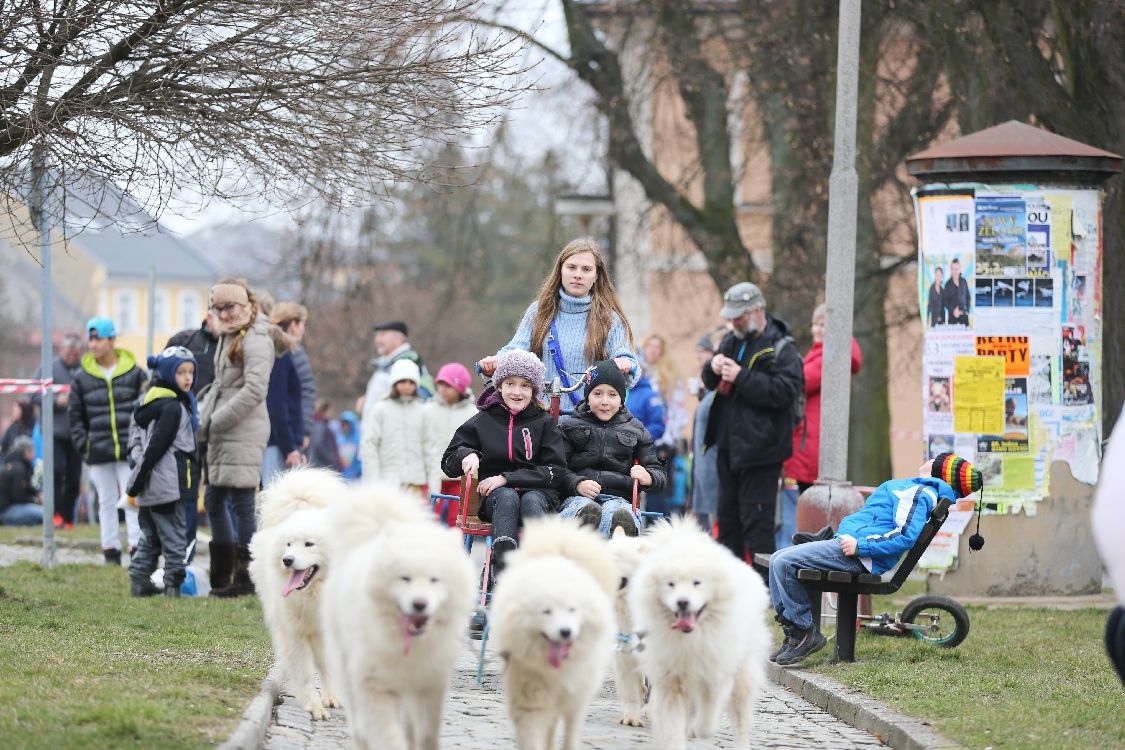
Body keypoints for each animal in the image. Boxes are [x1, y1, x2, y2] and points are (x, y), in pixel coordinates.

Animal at [248, 465, 348, 719]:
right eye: (288, 544)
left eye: (309, 544)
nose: (287, 560)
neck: (315, 595)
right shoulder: (295, 633)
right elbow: (304, 673)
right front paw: (314, 706)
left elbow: (327, 667)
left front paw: (331, 698)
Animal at [321, 519, 474, 750]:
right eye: (405, 578)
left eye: (434, 579)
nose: (419, 604)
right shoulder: (376, 685)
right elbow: (388, 735)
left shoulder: (430, 686)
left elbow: (426, 734)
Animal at [490, 517, 621, 750]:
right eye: (546, 611)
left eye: (573, 609)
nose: (565, 632)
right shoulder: (530, 696)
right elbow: (533, 734)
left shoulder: (576, 697)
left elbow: (570, 734)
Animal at [625, 517, 774, 750]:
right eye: (670, 583)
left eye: (697, 582)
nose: (682, 602)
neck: (691, 640)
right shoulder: (670, 679)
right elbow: (673, 722)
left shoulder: (716, 678)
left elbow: (708, 717)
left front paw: (700, 729)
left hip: (742, 679)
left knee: (740, 721)